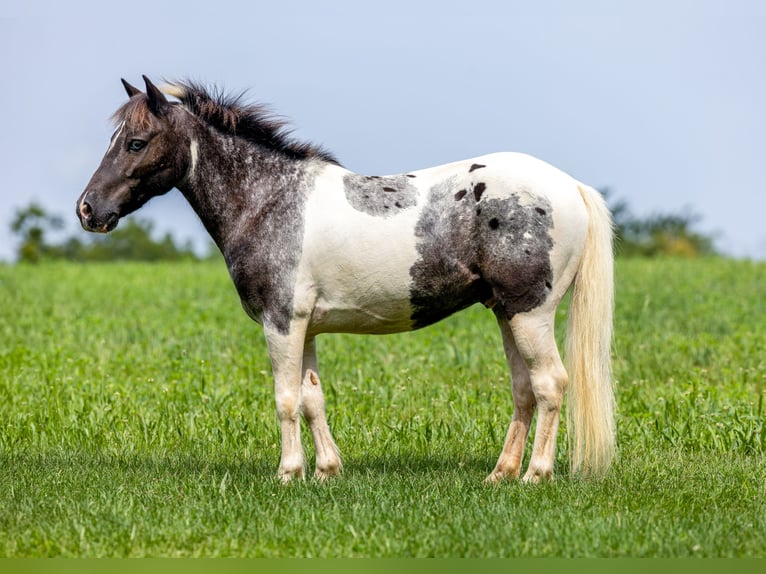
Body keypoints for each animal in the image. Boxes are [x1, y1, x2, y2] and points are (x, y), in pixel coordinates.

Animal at [77, 76, 615, 483]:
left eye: (136, 142)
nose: (87, 210)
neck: (269, 199)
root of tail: (569, 186)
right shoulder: (306, 327)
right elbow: (313, 398)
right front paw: (326, 471)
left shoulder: (281, 323)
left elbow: (286, 399)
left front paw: (289, 472)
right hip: (506, 314)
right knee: (524, 390)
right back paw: (500, 474)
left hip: (530, 314)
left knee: (550, 384)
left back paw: (536, 475)